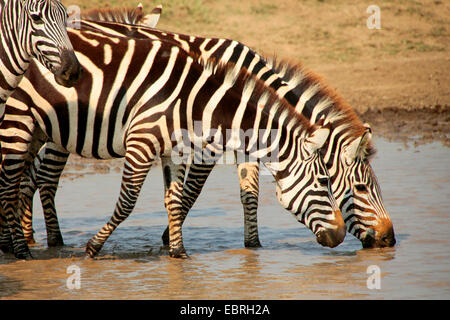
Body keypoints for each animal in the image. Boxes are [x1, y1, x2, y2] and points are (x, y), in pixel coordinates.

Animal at [13, 6, 394, 249]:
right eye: (361, 188)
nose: (389, 239)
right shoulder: (207, 144)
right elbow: (191, 192)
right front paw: (168, 239)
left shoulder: (247, 140)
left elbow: (249, 193)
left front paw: (252, 246)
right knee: (43, 177)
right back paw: (51, 242)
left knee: (29, 176)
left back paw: (28, 236)